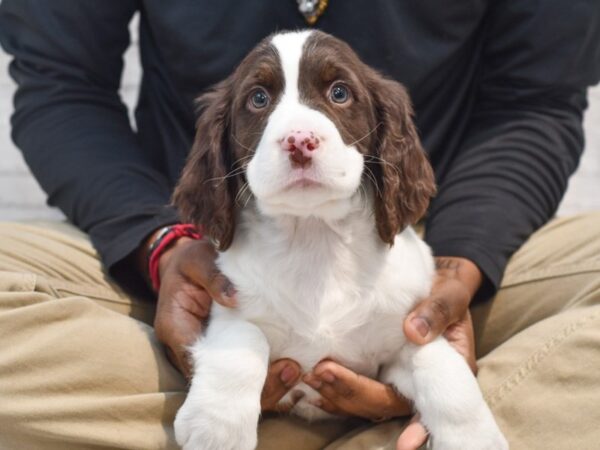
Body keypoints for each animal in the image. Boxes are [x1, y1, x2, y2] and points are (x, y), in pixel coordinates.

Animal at [171, 29, 508, 450]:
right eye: (259, 98)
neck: (315, 236)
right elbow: (243, 341)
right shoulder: (228, 302)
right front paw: (217, 430)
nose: (300, 140)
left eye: (340, 93)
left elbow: (438, 361)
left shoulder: (404, 330)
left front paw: (473, 436)